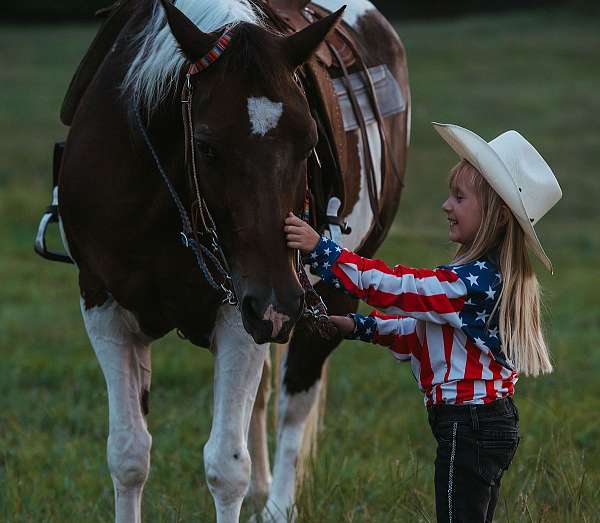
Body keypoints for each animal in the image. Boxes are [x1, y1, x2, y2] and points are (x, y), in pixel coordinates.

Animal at [56, 1, 410, 523]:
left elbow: (226, 465)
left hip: (320, 299)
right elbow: (128, 454)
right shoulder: (102, 302)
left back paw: (279, 503)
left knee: (294, 401)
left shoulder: (244, 309)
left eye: (309, 142)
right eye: (206, 146)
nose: (279, 300)